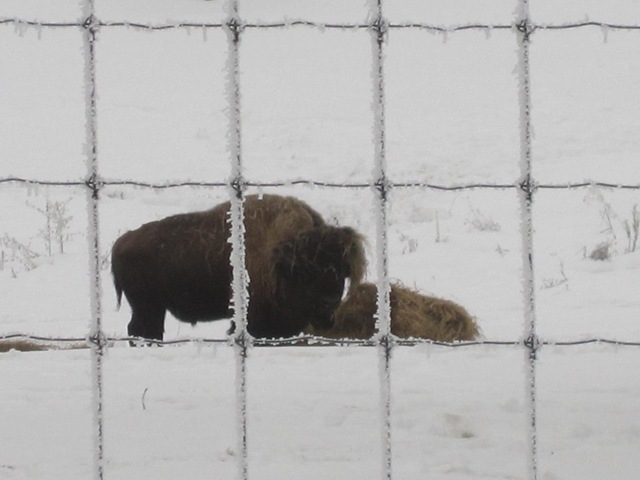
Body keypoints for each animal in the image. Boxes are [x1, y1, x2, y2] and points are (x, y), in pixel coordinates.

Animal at [111, 194, 366, 341]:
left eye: (343, 270)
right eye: (307, 271)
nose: (330, 302)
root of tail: (122, 242)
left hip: (151, 308)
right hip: (147, 307)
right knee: (142, 330)